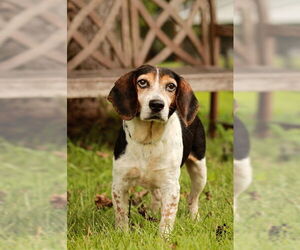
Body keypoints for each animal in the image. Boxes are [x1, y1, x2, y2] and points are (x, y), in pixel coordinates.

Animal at [108, 65, 206, 235]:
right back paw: (152, 214)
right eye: (142, 82)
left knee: (193, 198)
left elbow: (167, 219)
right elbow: (121, 215)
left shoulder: (171, 187)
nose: (157, 104)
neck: (148, 140)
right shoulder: (119, 183)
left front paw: (163, 238)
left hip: (200, 171)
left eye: (171, 86)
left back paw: (194, 217)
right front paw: (122, 234)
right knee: (157, 196)